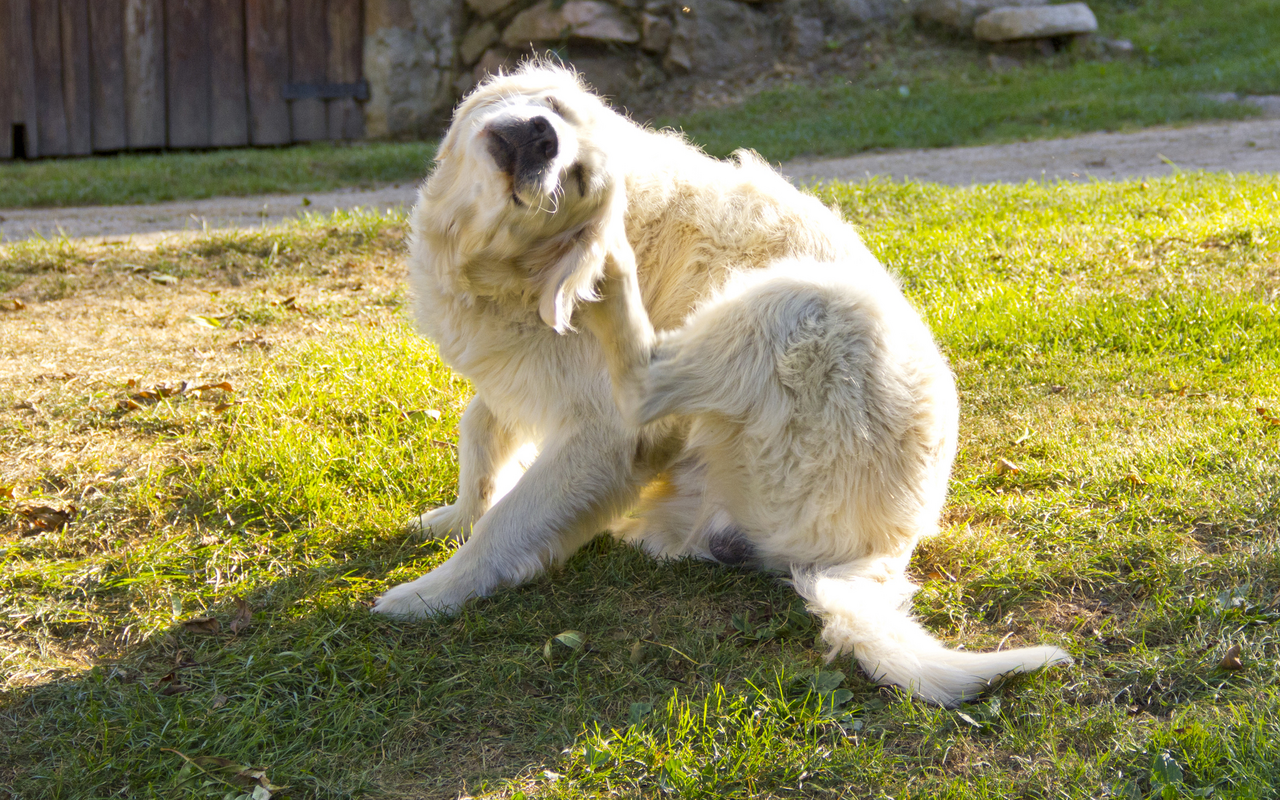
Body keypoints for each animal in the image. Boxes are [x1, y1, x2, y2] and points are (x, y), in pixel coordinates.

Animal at [373, 64, 1070, 706]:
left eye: (578, 181)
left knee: (647, 381)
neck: (500, 269)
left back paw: (615, 277)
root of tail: (882, 552)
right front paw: (456, 515)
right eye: (552, 108)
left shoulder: (603, 435)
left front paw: (430, 593)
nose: (545, 136)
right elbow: (480, 430)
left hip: (806, 300)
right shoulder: (517, 374)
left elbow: (508, 522)